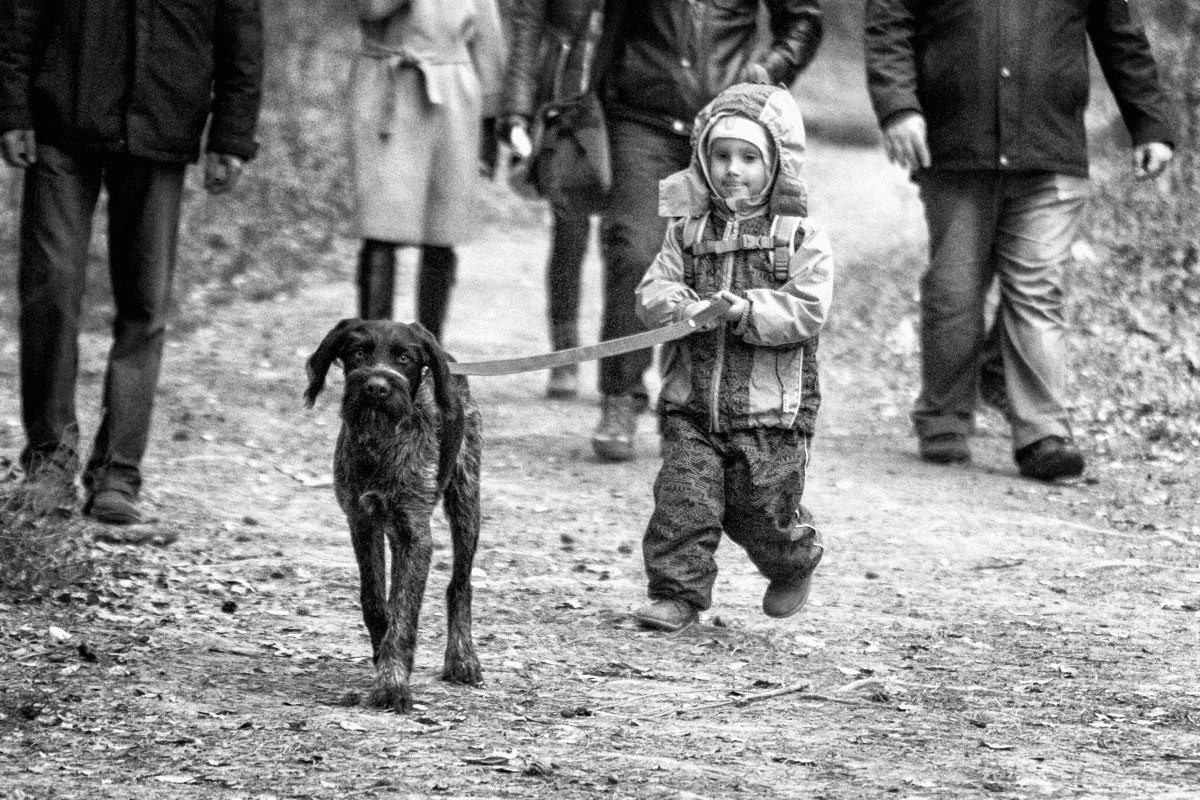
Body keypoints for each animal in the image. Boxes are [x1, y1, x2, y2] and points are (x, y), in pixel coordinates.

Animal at [304, 319, 482, 714]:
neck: (380, 443)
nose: (376, 387)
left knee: (460, 584)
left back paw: (462, 659)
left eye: (404, 358)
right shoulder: (362, 522)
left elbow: (404, 614)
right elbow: (375, 602)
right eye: (358, 353)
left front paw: (392, 684)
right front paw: (381, 657)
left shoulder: (415, 534)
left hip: (466, 501)